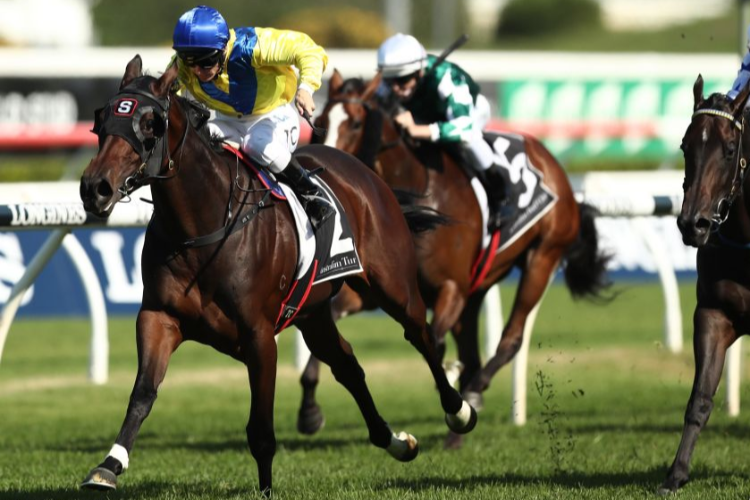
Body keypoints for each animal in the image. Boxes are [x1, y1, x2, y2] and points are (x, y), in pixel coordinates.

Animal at [76, 55, 476, 496]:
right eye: (102, 118)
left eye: (151, 123)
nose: (95, 187)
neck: (202, 225)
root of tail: (365, 172)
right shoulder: (159, 317)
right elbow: (143, 393)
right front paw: (108, 466)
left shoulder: (259, 336)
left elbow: (261, 431)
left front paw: (266, 490)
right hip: (313, 313)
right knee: (347, 364)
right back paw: (397, 442)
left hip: (394, 287)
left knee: (421, 335)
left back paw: (459, 411)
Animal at [296, 69, 612, 446]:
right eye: (322, 121)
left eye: (356, 123)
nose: (322, 167)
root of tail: (552, 164)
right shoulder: (374, 291)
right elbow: (329, 335)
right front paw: (310, 412)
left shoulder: (450, 289)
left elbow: (433, 340)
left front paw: (455, 401)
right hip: (478, 288)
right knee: (471, 350)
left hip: (542, 257)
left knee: (511, 338)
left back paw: (473, 392)